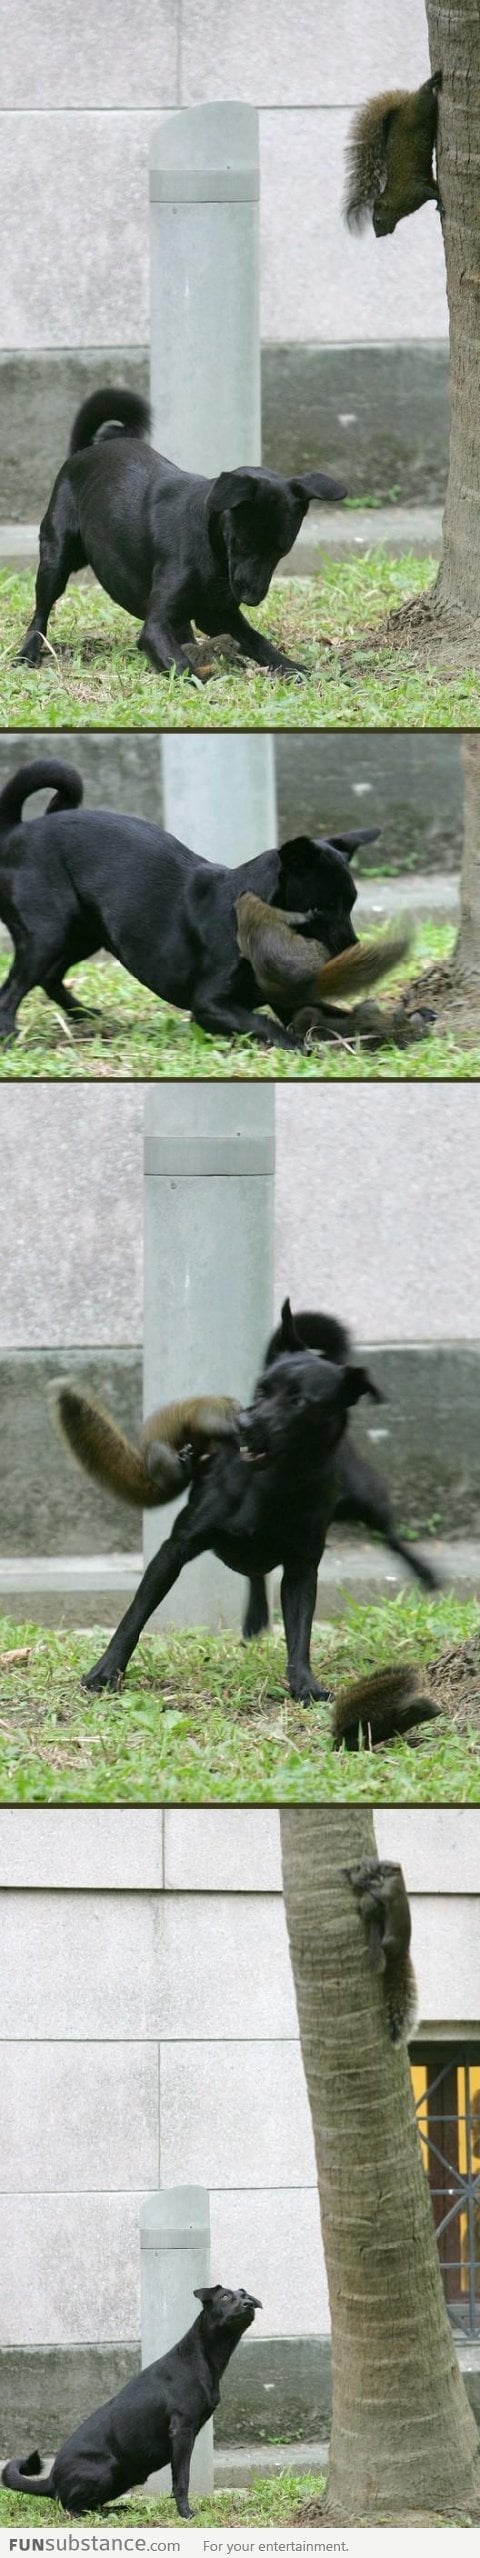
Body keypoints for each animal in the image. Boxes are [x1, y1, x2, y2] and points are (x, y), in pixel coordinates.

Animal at [53, 1381, 240, 1506]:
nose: (237, 1410)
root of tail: (151, 1479)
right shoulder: (209, 1413)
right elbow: (216, 1424)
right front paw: (235, 1426)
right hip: (160, 1455)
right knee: (179, 1476)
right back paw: (188, 1467)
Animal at [235, 892, 410, 1038]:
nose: (244, 894)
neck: (251, 915)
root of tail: (311, 980)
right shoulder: (274, 914)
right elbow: (295, 917)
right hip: (315, 947)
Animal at [344, 73, 442, 237]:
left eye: (377, 220)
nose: (378, 235)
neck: (396, 197)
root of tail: (405, 104)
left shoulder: (414, 190)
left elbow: (431, 192)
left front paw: (440, 201)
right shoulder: (425, 183)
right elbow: (433, 187)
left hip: (421, 108)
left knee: (424, 94)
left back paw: (432, 81)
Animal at [345, 1856, 417, 2042]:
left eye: (386, 1866)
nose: (375, 1865)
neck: (398, 1880)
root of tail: (401, 1952)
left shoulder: (387, 1891)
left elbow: (373, 1889)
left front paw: (356, 1877)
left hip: (388, 1941)